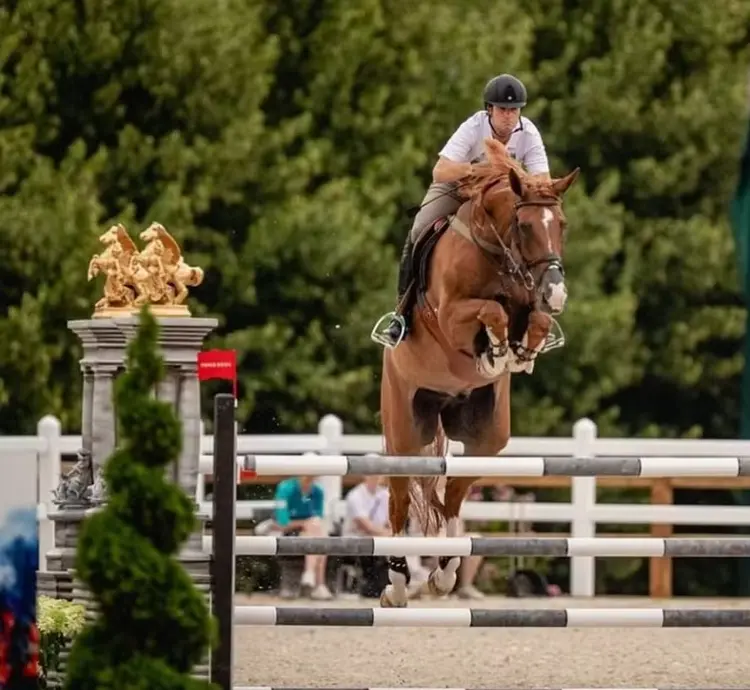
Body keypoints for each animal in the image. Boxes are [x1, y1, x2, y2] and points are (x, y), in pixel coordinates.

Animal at [382, 137, 580, 604]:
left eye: (561, 224)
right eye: (524, 226)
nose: (557, 293)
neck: (497, 252)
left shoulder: (530, 307)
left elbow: (534, 321)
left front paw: (517, 354)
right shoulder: (451, 316)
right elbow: (490, 310)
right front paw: (497, 351)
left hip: (485, 435)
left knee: (453, 495)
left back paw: (445, 572)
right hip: (405, 431)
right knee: (400, 502)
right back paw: (398, 583)